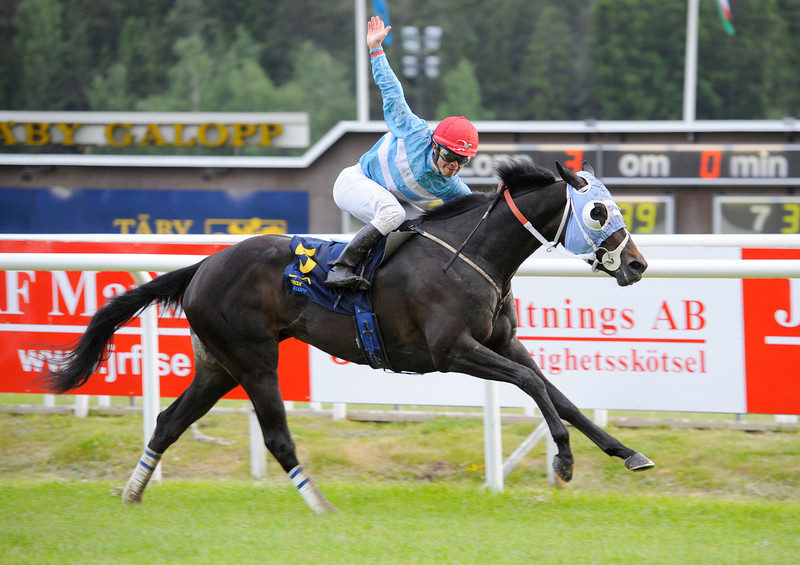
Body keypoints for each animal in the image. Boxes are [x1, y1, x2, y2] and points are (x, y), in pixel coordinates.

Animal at [37, 159, 652, 512]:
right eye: (598, 211)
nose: (638, 264)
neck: (474, 254)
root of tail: (205, 264)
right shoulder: (452, 350)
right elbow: (533, 384)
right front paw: (564, 461)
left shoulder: (501, 343)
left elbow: (558, 394)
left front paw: (627, 453)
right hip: (254, 360)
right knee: (276, 437)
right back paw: (321, 507)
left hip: (217, 366)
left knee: (168, 421)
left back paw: (133, 492)